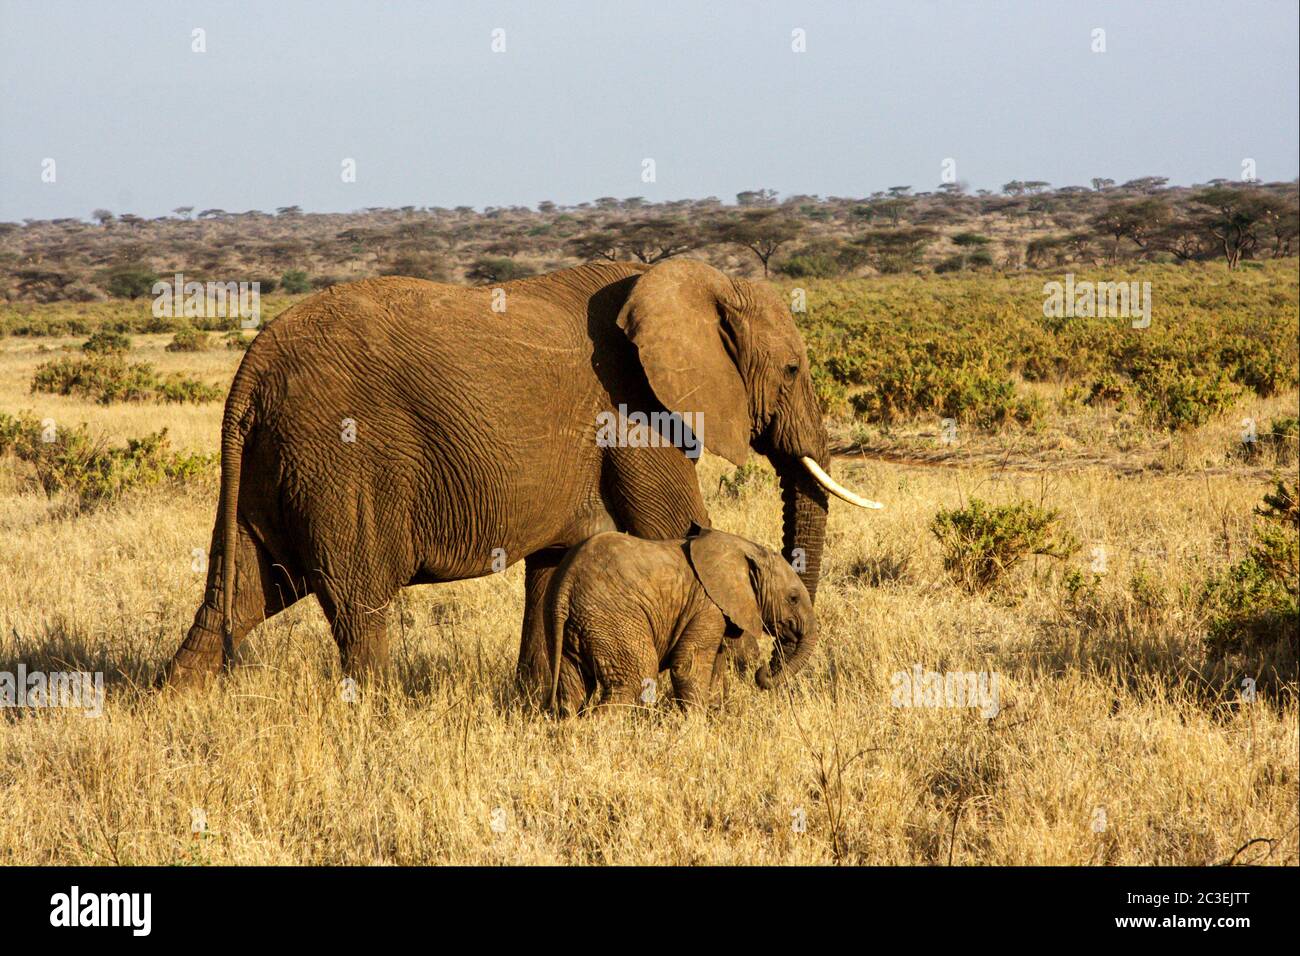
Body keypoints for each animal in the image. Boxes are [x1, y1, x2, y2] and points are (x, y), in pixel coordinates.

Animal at [160, 258, 882, 691]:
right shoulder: (634, 412)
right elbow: (679, 529)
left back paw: (176, 705)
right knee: (356, 601)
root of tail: (250, 372)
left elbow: (556, 565)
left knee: (240, 591)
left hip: (275, 464)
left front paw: (538, 707)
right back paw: (380, 721)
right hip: (339, 460)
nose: (769, 675)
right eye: (792, 369)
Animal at [546, 525, 817, 716]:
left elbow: (715, 666)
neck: (745, 549)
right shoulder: (708, 605)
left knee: (573, 688)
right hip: (612, 618)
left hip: (572, 623)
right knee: (634, 679)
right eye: (793, 598)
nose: (761, 672)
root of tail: (567, 584)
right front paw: (695, 727)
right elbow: (688, 665)